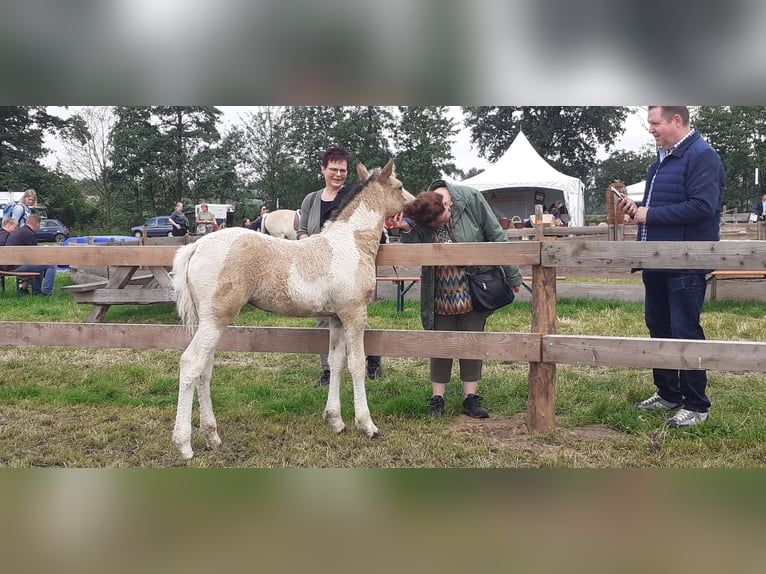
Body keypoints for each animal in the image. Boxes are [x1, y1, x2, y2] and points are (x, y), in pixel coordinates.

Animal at [170, 159, 414, 459]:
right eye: (400, 187)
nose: (413, 207)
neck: (351, 244)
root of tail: (196, 246)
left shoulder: (336, 319)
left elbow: (335, 362)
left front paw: (335, 420)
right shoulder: (354, 314)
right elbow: (357, 364)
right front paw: (366, 424)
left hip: (210, 323)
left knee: (205, 369)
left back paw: (212, 436)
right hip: (215, 320)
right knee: (191, 363)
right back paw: (184, 445)